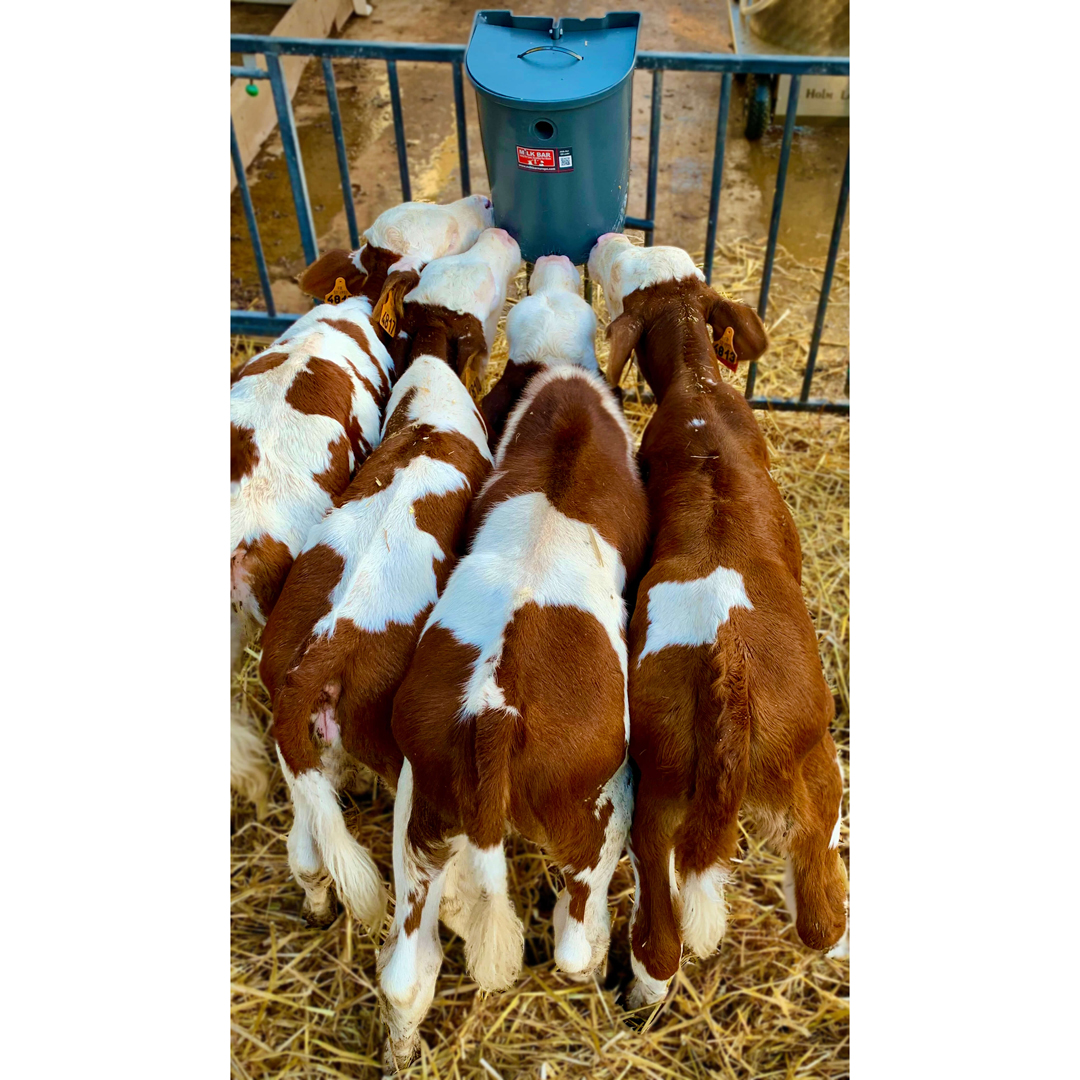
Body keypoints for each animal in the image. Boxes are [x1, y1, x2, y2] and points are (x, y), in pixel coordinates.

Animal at [377, 255, 649, 1071]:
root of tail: (494, 713)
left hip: (420, 812)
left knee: (405, 971)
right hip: (598, 810)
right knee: (572, 939)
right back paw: (597, 961)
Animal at [587, 232, 848, 1011]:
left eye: (619, 276)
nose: (606, 239)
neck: (699, 391)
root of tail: (725, 670)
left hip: (675, 789)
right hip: (797, 771)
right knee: (814, 911)